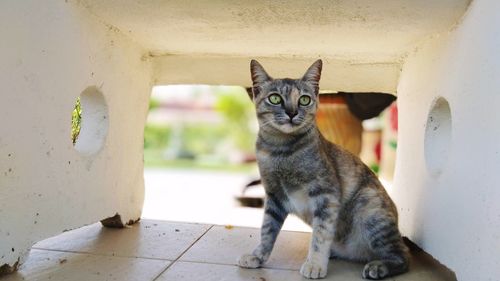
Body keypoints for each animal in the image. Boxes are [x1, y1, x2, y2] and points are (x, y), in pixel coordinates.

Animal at [236, 59, 408, 278]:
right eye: (275, 98)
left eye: (304, 100)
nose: (292, 112)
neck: (281, 151)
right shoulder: (274, 196)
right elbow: (266, 231)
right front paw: (257, 256)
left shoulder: (326, 195)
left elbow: (320, 236)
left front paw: (315, 264)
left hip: (369, 207)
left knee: (403, 256)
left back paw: (378, 266)